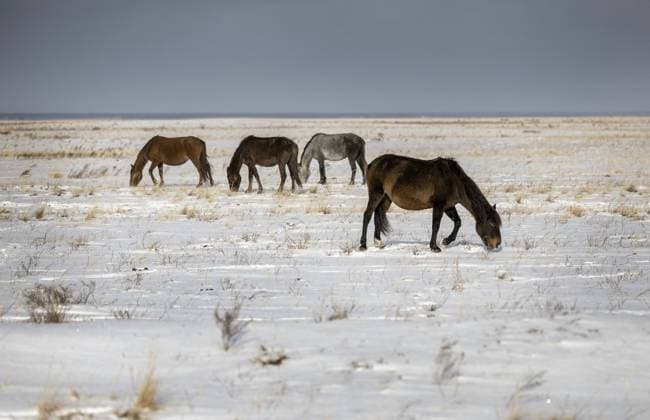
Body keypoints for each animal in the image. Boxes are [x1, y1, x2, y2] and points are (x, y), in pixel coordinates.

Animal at [359, 154, 502, 252]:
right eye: (492, 224)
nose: (497, 244)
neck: (453, 181)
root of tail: (373, 164)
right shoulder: (439, 205)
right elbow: (436, 225)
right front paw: (434, 247)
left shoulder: (449, 206)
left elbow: (458, 222)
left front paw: (446, 241)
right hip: (376, 194)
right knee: (367, 215)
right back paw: (363, 245)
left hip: (386, 198)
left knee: (378, 215)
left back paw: (378, 242)